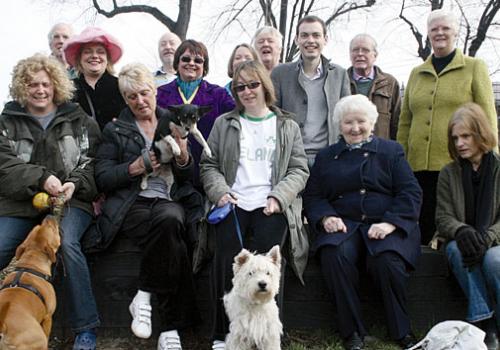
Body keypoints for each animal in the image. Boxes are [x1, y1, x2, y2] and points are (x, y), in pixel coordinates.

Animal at [0, 216, 61, 350]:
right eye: (53, 229)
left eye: (37, 226)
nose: (49, 216)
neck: (29, 264)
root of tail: (4, 326)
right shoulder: (48, 317)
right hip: (38, 339)